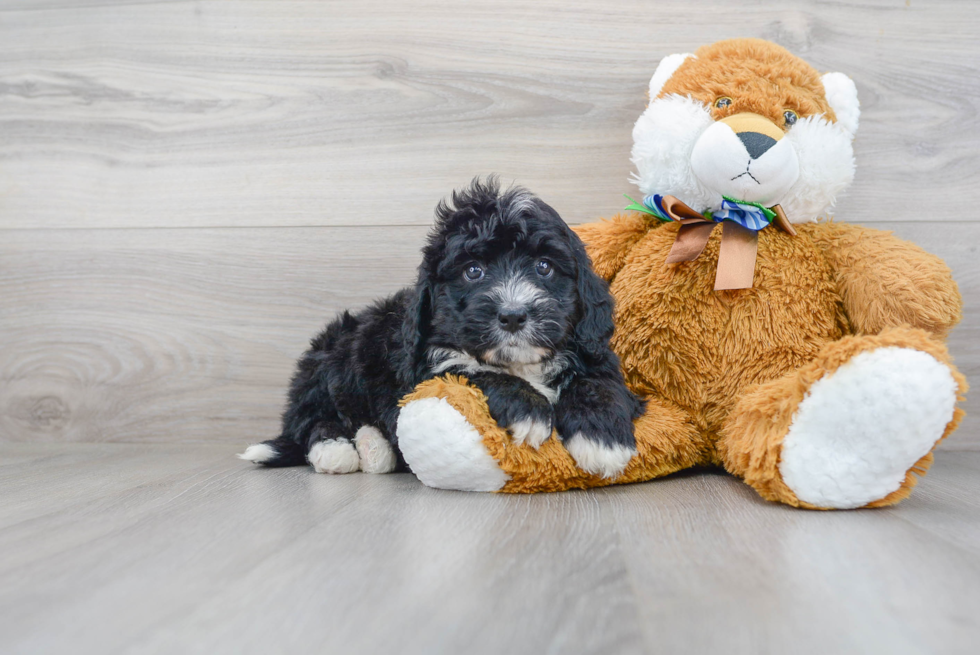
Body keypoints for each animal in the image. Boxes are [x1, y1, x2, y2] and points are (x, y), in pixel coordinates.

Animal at [239, 177, 644, 480]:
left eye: (544, 267)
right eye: (473, 271)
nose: (513, 315)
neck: (520, 364)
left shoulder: (594, 351)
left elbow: (598, 384)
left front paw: (602, 440)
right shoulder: (422, 370)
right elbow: (474, 371)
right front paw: (530, 411)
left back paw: (374, 447)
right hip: (328, 360)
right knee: (311, 421)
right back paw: (338, 450)